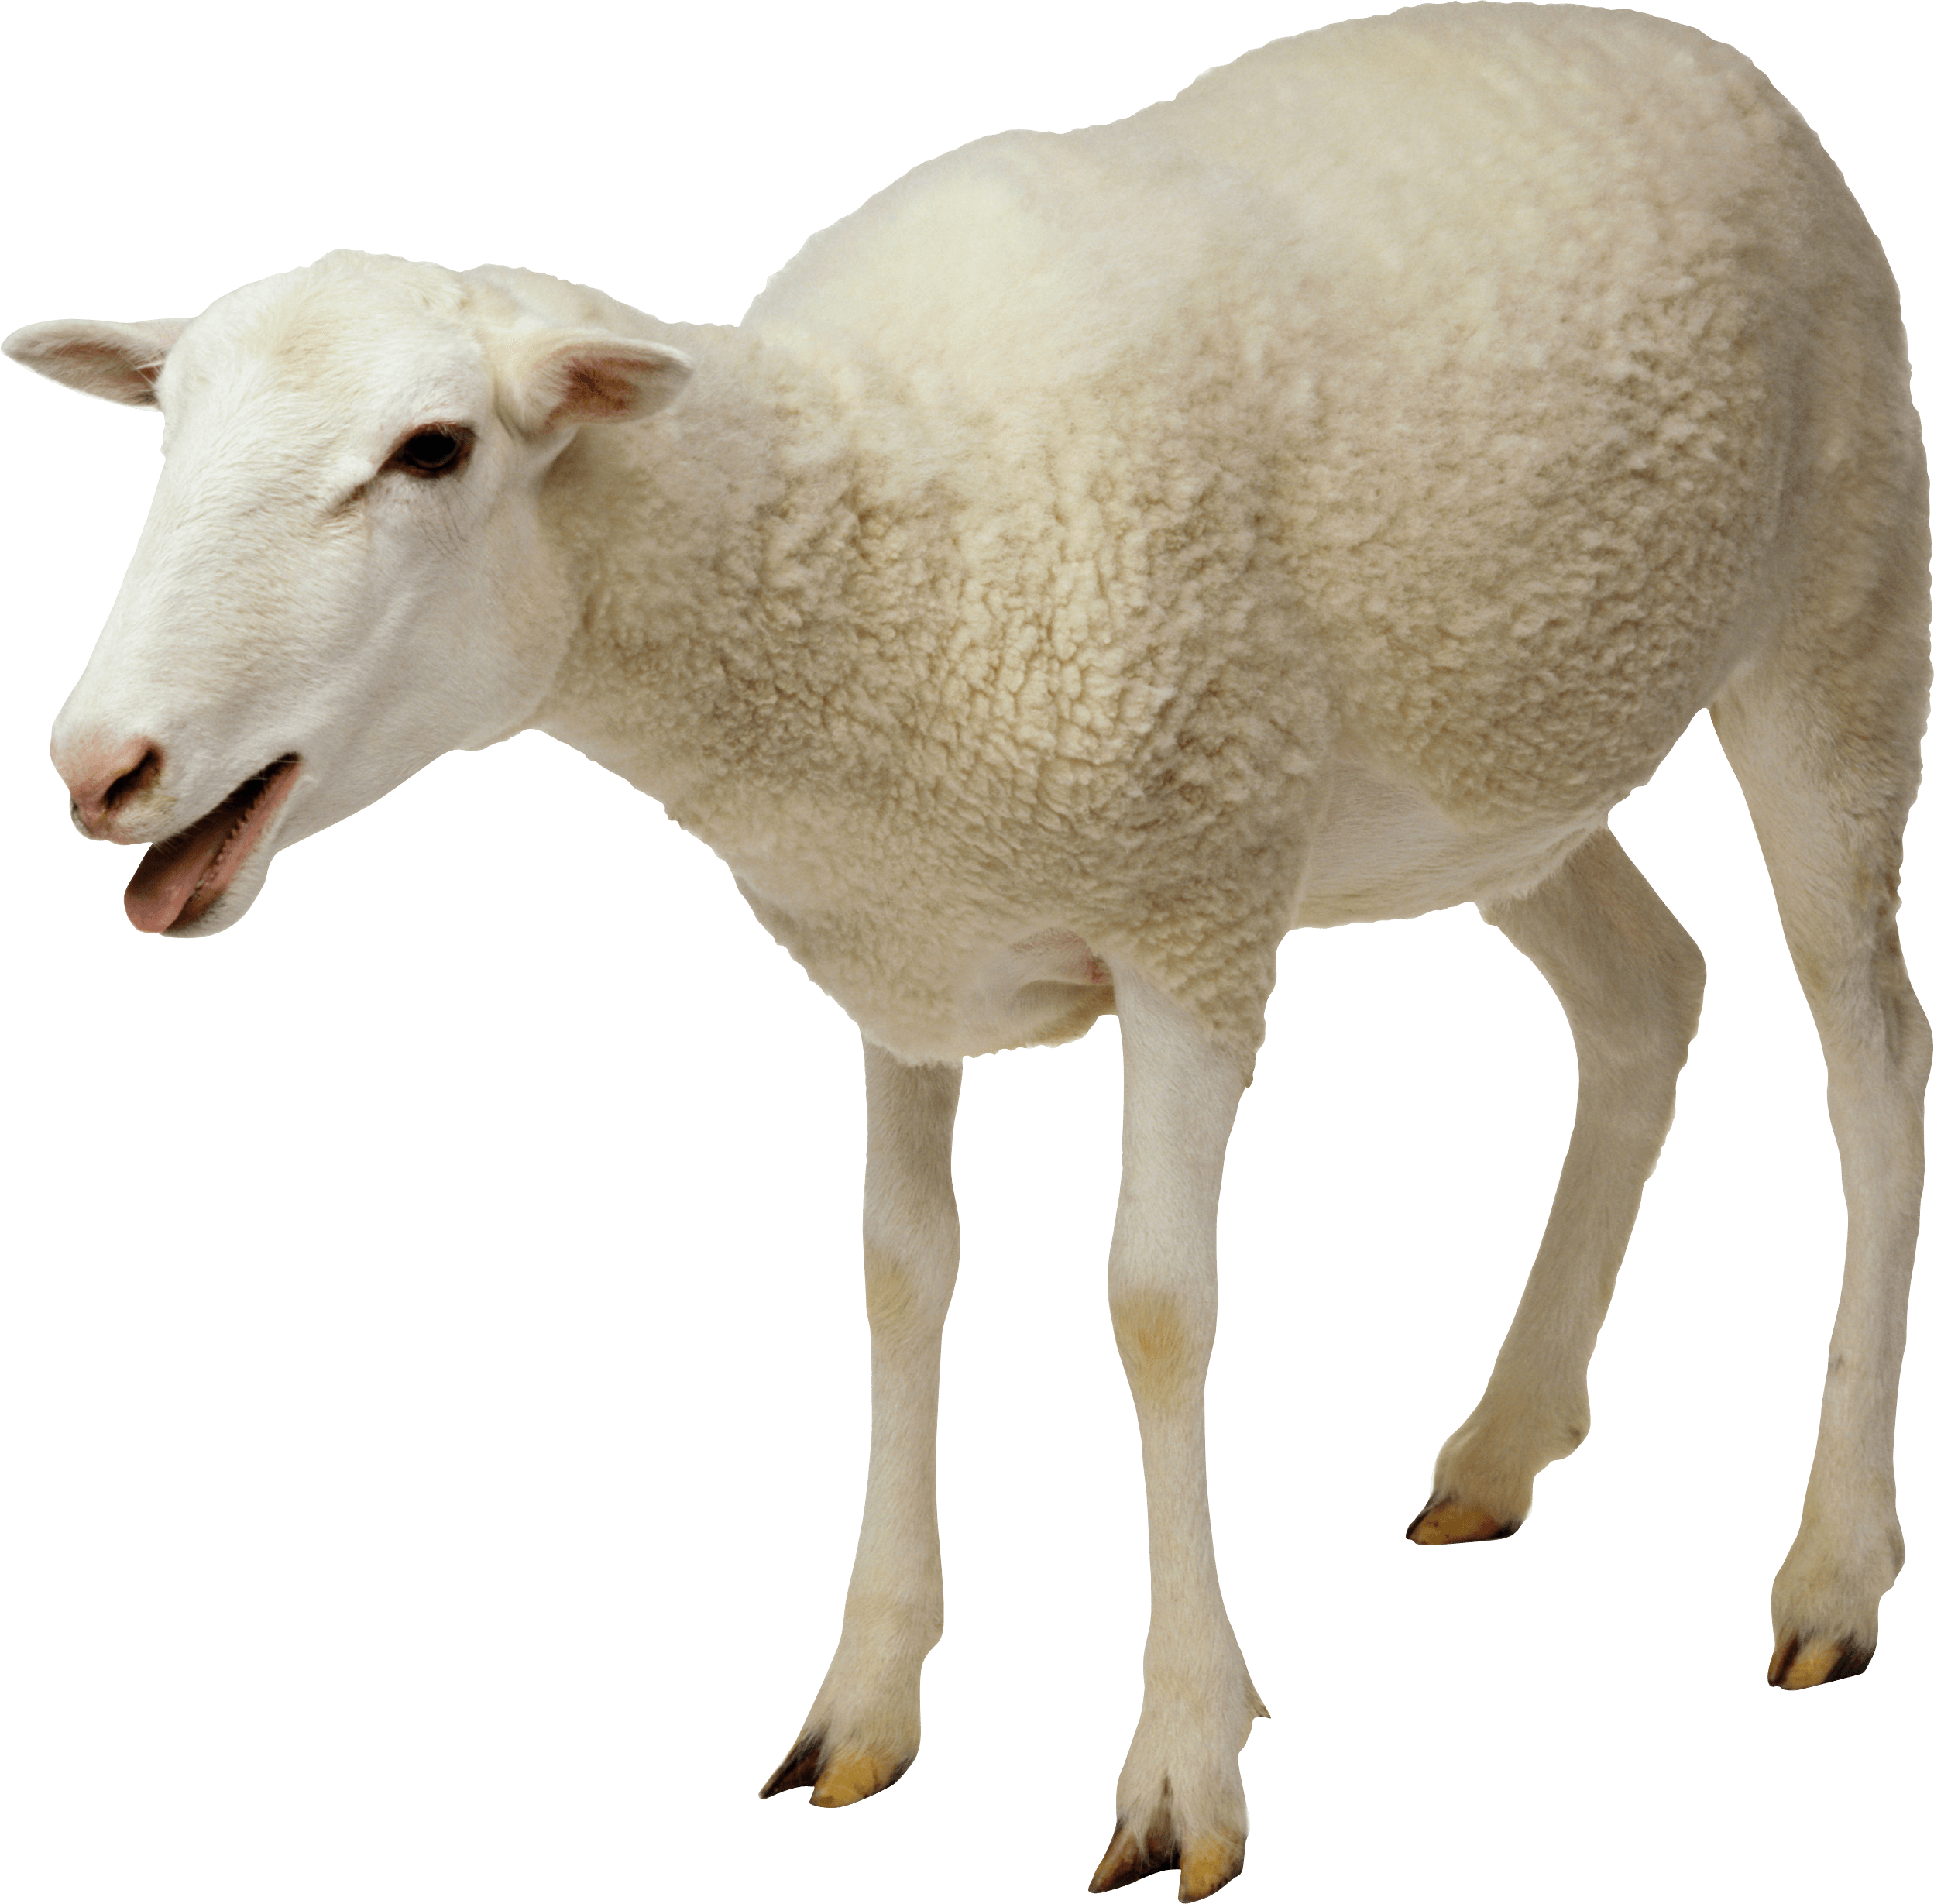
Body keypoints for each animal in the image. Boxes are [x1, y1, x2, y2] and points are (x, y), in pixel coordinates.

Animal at [9, 1, 1926, 1893]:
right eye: (169, 439)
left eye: (434, 450)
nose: (103, 766)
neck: (863, 537)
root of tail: (1678, 42)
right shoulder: (899, 952)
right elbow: (900, 1268)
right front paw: (862, 1702)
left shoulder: (1194, 919)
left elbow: (1156, 1304)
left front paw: (1184, 1761)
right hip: (1504, 769)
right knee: (1644, 992)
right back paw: (1507, 1439)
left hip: (1837, 615)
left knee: (1873, 1056)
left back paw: (1833, 1567)